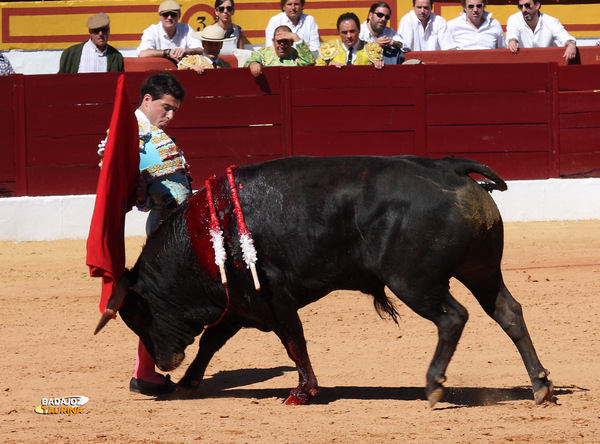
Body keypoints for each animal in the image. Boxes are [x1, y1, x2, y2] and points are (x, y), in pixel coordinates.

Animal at [95, 155, 552, 406]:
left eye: (140, 317)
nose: (164, 364)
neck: (207, 236)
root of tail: (450, 167)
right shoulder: (241, 305)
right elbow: (211, 342)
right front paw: (188, 383)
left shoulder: (273, 301)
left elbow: (293, 342)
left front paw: (302, 392)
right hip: (481, 271)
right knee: (508, 312)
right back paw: (540, 385)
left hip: (415, 282)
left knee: (453, 317)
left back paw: (434, 385)